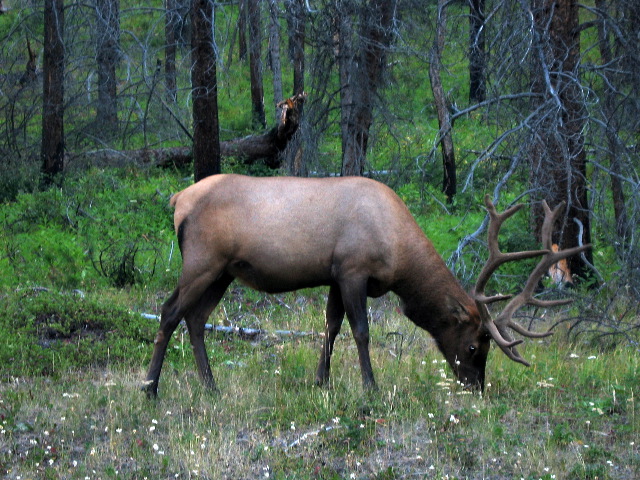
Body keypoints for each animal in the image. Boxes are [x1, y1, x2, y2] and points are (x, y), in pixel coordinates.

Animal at [144, 174, 592, 396]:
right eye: (472, 346)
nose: (476, 386)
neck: (399, 254)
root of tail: (177, 199)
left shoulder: (334, 275)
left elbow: (330, 325)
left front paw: (321, 382)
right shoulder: (353, 270)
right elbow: (360, 330)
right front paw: (370, 388)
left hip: (223, 271)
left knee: (196, 319)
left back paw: (211, 386)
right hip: (202, 261)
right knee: (169, 312)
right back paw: (150, 388)